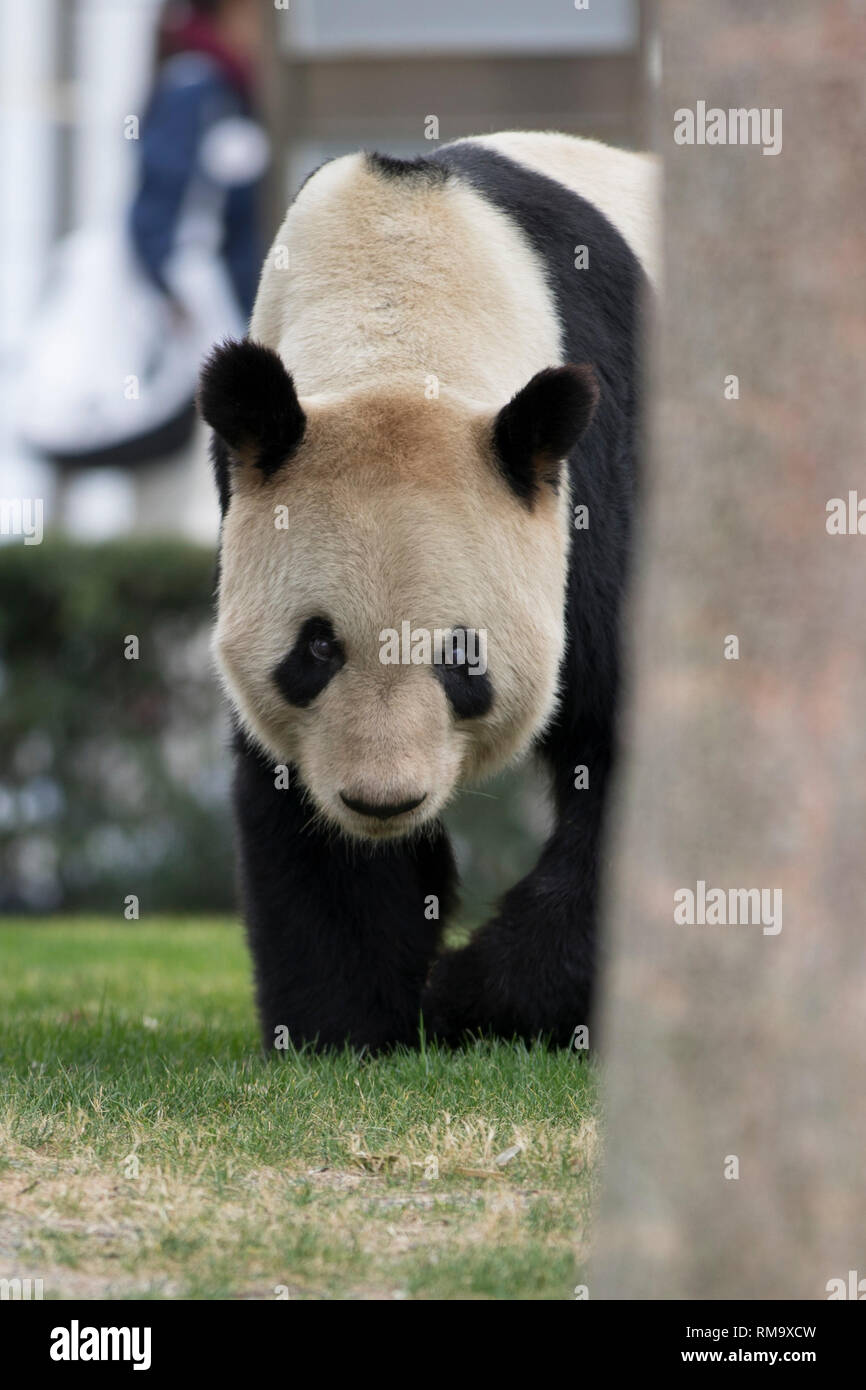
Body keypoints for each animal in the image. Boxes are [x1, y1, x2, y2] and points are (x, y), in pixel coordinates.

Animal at [198, 131, 659, 1051]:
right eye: (316, 647)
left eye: (462, 657)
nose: (385, 799)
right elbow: (297, 806)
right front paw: (347, 1023)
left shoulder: (598, 484)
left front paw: (467, 1000)